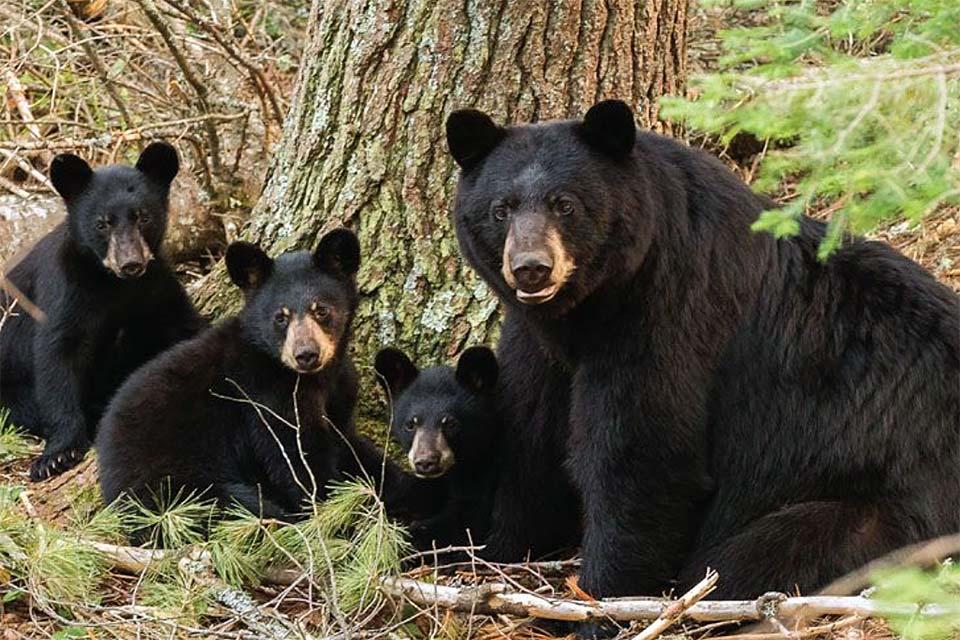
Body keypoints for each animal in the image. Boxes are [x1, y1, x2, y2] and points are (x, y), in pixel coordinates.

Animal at [0, 144, 202, 480]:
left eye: (143, 217)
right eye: (102, 223)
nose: (130, 263)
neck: (114, 285)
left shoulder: (157, 286)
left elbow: (185, 325)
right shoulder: (64, 291)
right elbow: (58, 356)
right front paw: (57, 455)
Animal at [97, 230, 362, 520]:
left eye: (321, 310)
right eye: (280, 317)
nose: (306, 354)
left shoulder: (339, 395)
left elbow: (347, 443)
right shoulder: (267, 396)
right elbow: (298, 458)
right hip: (175, 485)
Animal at [444, 100, 960, 608]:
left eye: (565, 204)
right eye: (501, 209)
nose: (531, 268)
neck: (587, 312)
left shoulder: (668, 314)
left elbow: (642, 455)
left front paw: (602, 600)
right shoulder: (537, 344)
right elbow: (532, 438)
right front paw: (499, 549)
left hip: (882, 505)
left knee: (766, 553)